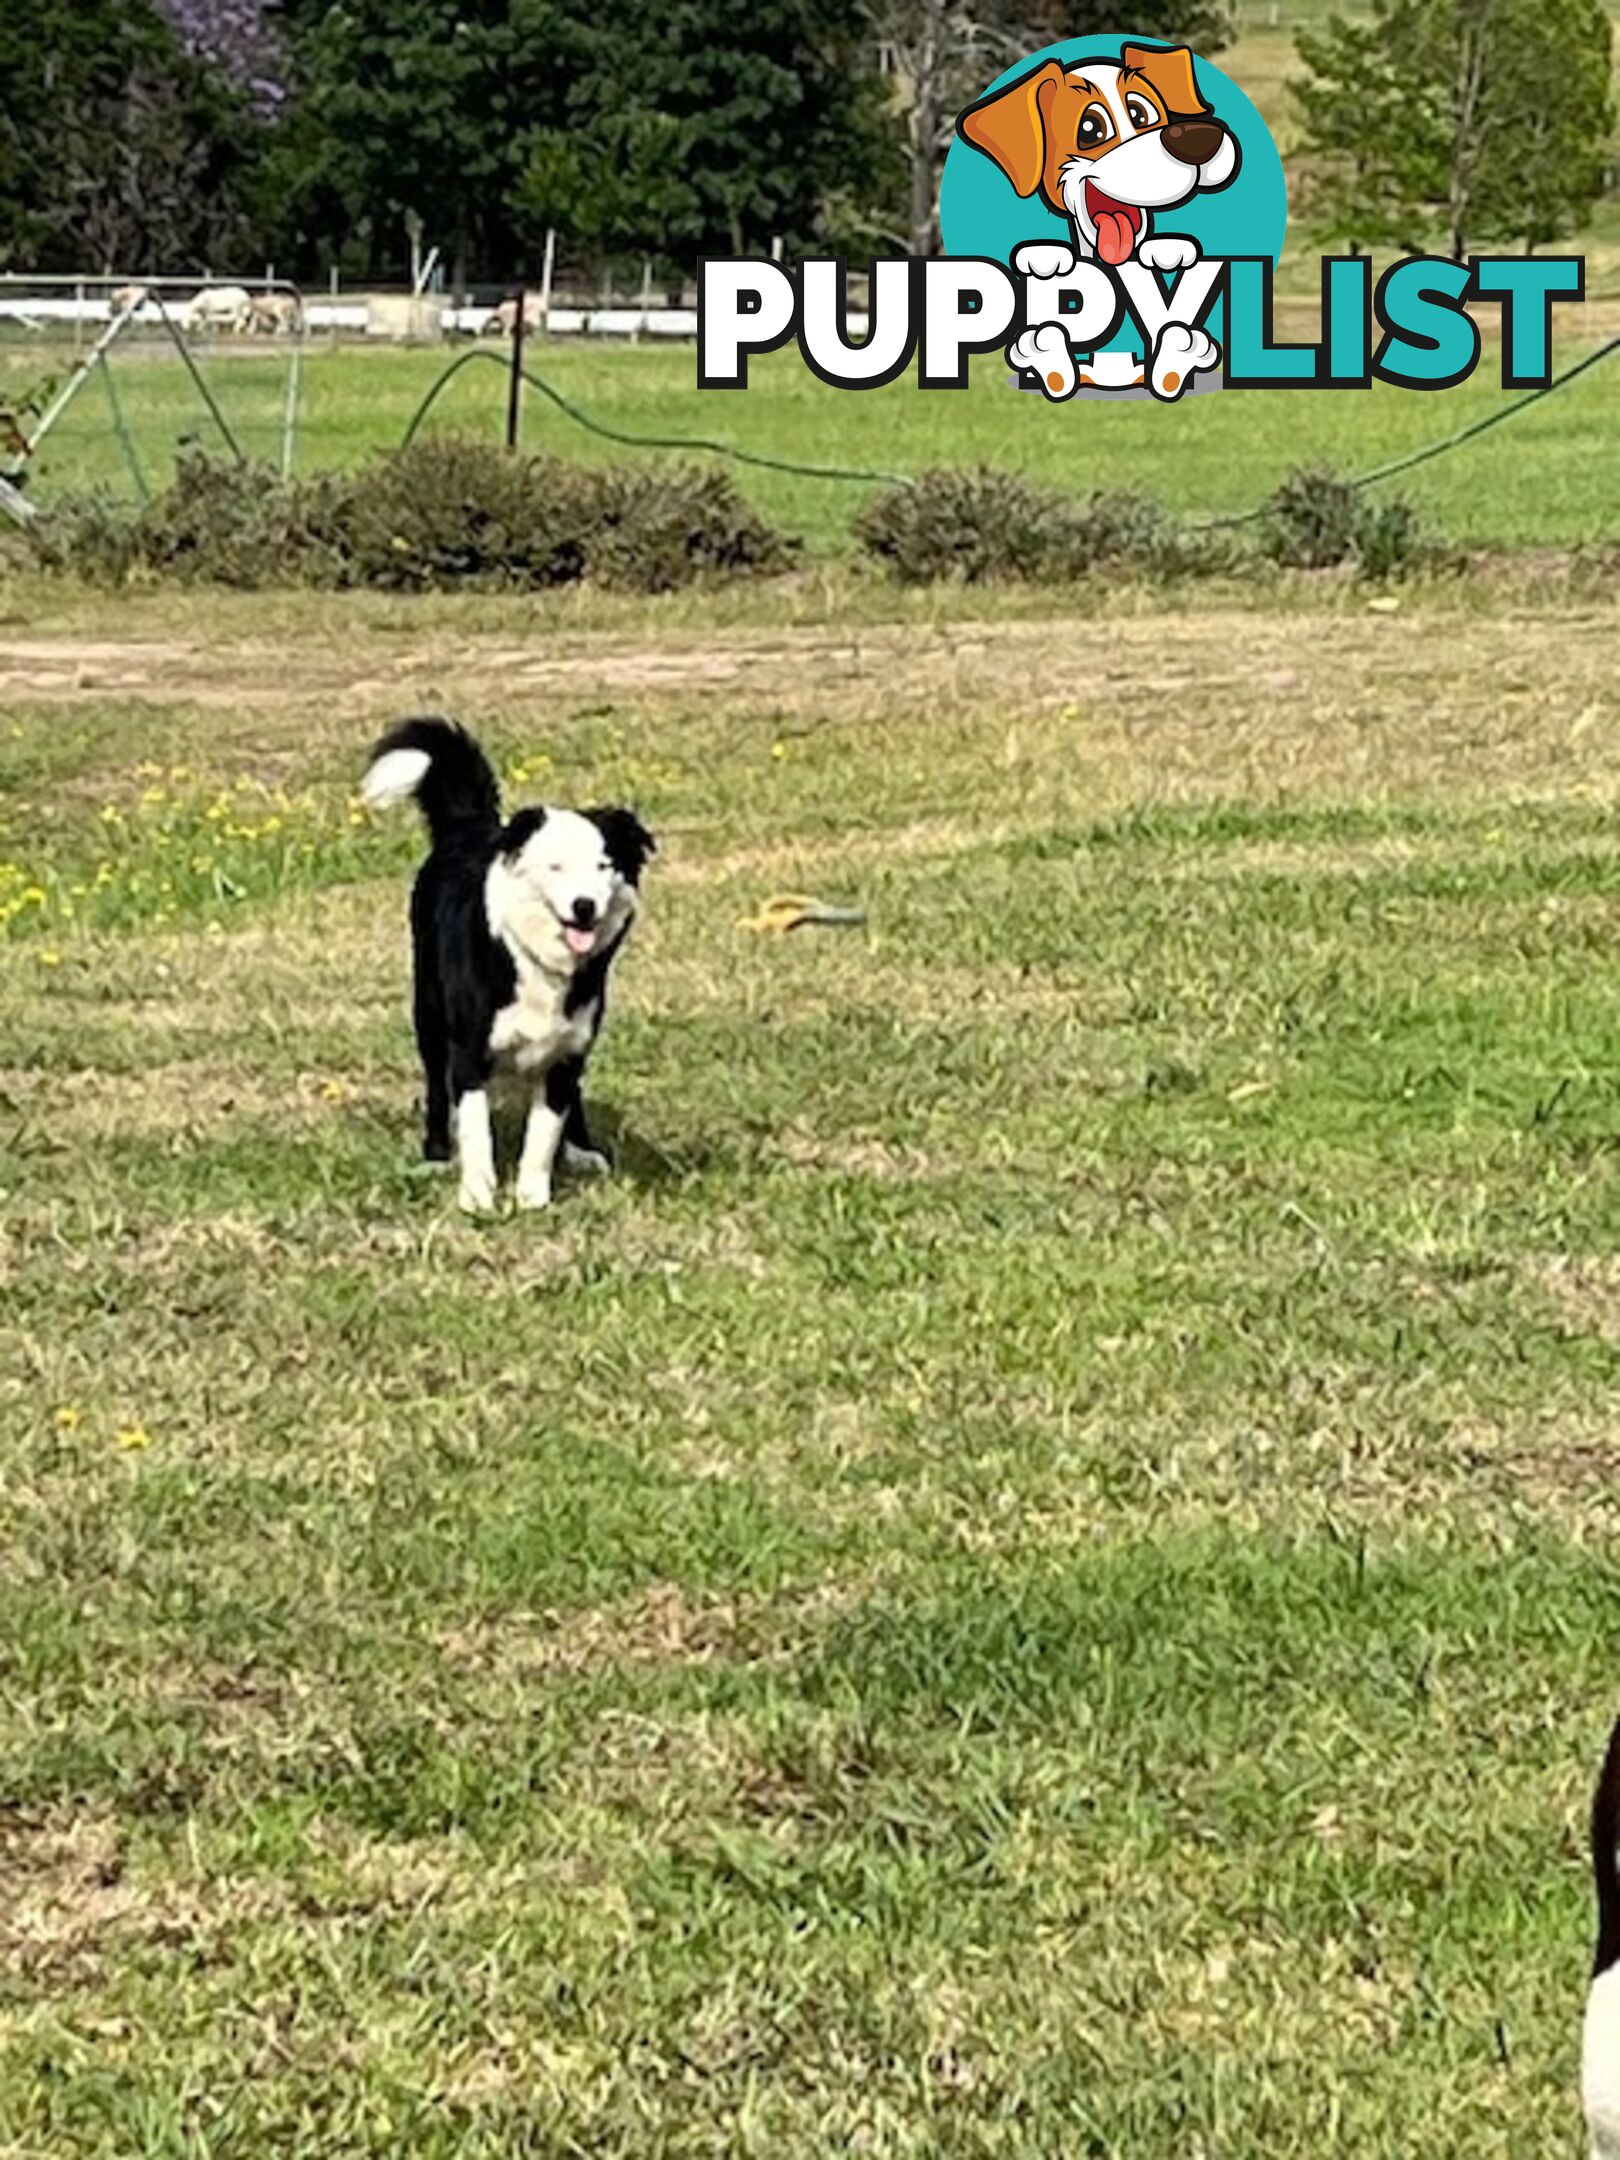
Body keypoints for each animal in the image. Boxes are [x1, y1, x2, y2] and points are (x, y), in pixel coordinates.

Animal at [362, 712, 652, 1209]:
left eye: (605, 866)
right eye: (555, 866)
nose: (584, 906)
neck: (535, 959)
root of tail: (468, 825)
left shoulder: (567, 1048)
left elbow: (544, 1132)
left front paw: (533, 1197)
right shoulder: (469, 1052)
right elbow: (477, 1130)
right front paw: (479, 1197)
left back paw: (581, 1149)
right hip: (429, 1011)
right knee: (436, 1085)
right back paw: (436, 1153)